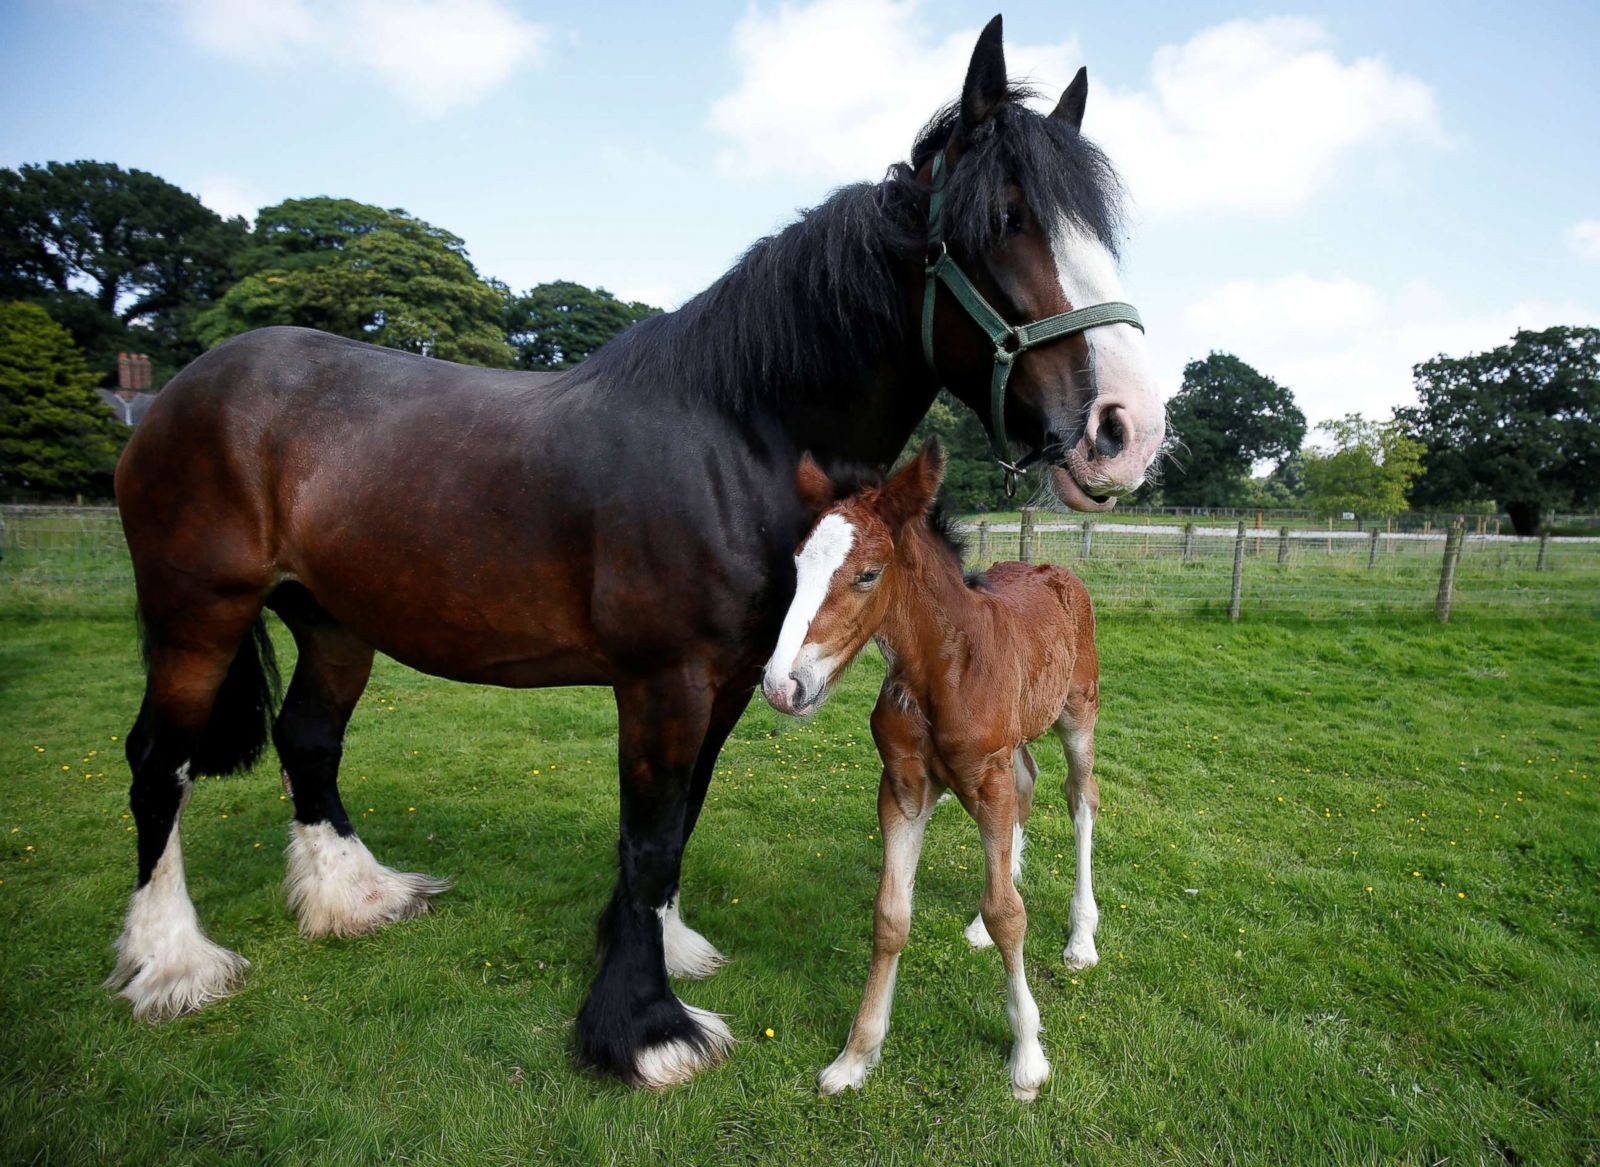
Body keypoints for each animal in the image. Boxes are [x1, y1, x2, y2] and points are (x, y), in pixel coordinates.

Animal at [761, 438, 1100, 1101]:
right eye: (796, 566)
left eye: (868, 574)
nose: (782, 687)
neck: (941, 668)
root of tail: (1059, 572)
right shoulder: (903, 789)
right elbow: (891, 916)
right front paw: (855, 1057)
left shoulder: (986, 777)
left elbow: (1010, 914)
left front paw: (1027, 1057)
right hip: (1012, 746)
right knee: (1028, 784)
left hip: (1078, 715)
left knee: (1080, 799)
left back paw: (1080, 937)